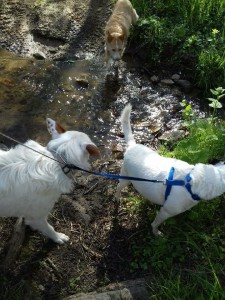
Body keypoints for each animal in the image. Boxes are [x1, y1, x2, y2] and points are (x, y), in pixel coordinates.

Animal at [116, 104, 225, 236]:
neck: (191, 182)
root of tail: (132, 146)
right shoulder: (166, 211)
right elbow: (155, 224)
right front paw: (156, 233)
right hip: (125, 178)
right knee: (118, 187)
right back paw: (117, 198)